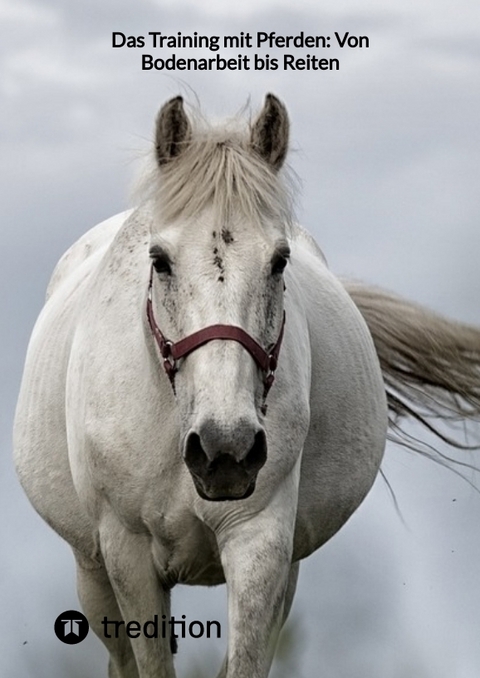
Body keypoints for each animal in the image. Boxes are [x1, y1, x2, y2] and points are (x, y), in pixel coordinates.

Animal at [14, 95, 480, 678]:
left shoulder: (261, 543)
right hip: (92, 571)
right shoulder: (127, 554)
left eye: (279, 260)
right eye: (159, 260)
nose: (225, 449)